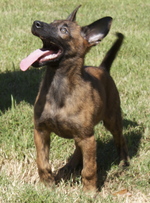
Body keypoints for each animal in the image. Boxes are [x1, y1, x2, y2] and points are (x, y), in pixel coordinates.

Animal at [20, 5, 129, 191]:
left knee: (120, 139)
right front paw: (47, 185)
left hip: (112, 120)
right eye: (52, 22)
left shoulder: (88, 138)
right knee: (79, 148)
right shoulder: (40, 131)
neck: (58, 87)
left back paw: (123, 163)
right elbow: (42, 163)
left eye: (64, 30)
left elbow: (90, 169)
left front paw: (89, 191)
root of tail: (103, 68)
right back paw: (69, 166)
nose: (36, 23)